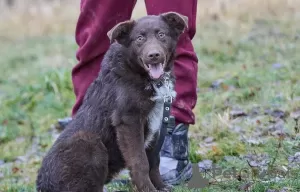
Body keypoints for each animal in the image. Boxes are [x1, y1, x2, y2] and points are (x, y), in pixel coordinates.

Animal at [36, 12, 189, 192]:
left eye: (161, 35)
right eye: (139, 38)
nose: (153, 55)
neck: (145, 77)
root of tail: (42, 185)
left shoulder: (156, 123)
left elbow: (154, 161)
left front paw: (160, 186)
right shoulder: (128, 121)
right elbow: (140, 162)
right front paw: (148, 189)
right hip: (88, 141)